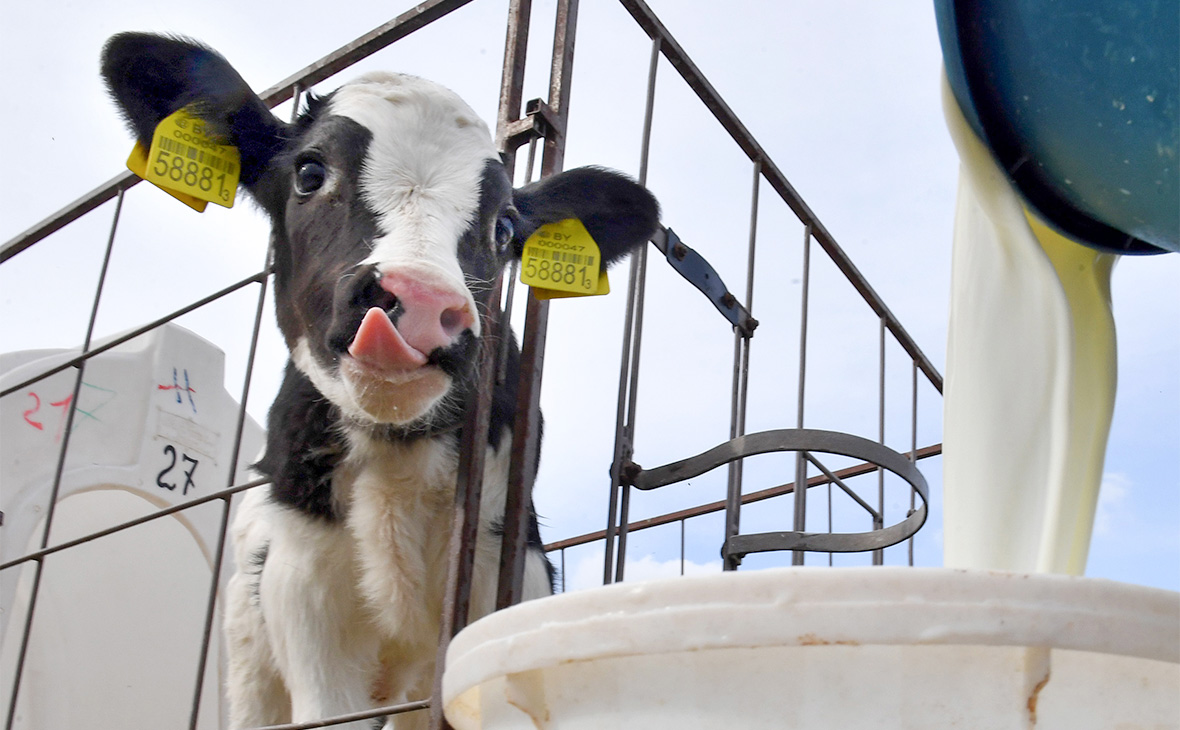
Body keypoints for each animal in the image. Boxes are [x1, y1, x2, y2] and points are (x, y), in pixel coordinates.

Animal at [99, 31, 665, 726]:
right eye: (309, 172)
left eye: (505, 226)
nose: (420, 302)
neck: (398, 461)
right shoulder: (305, 596)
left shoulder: (504, 576)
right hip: (249, 654)